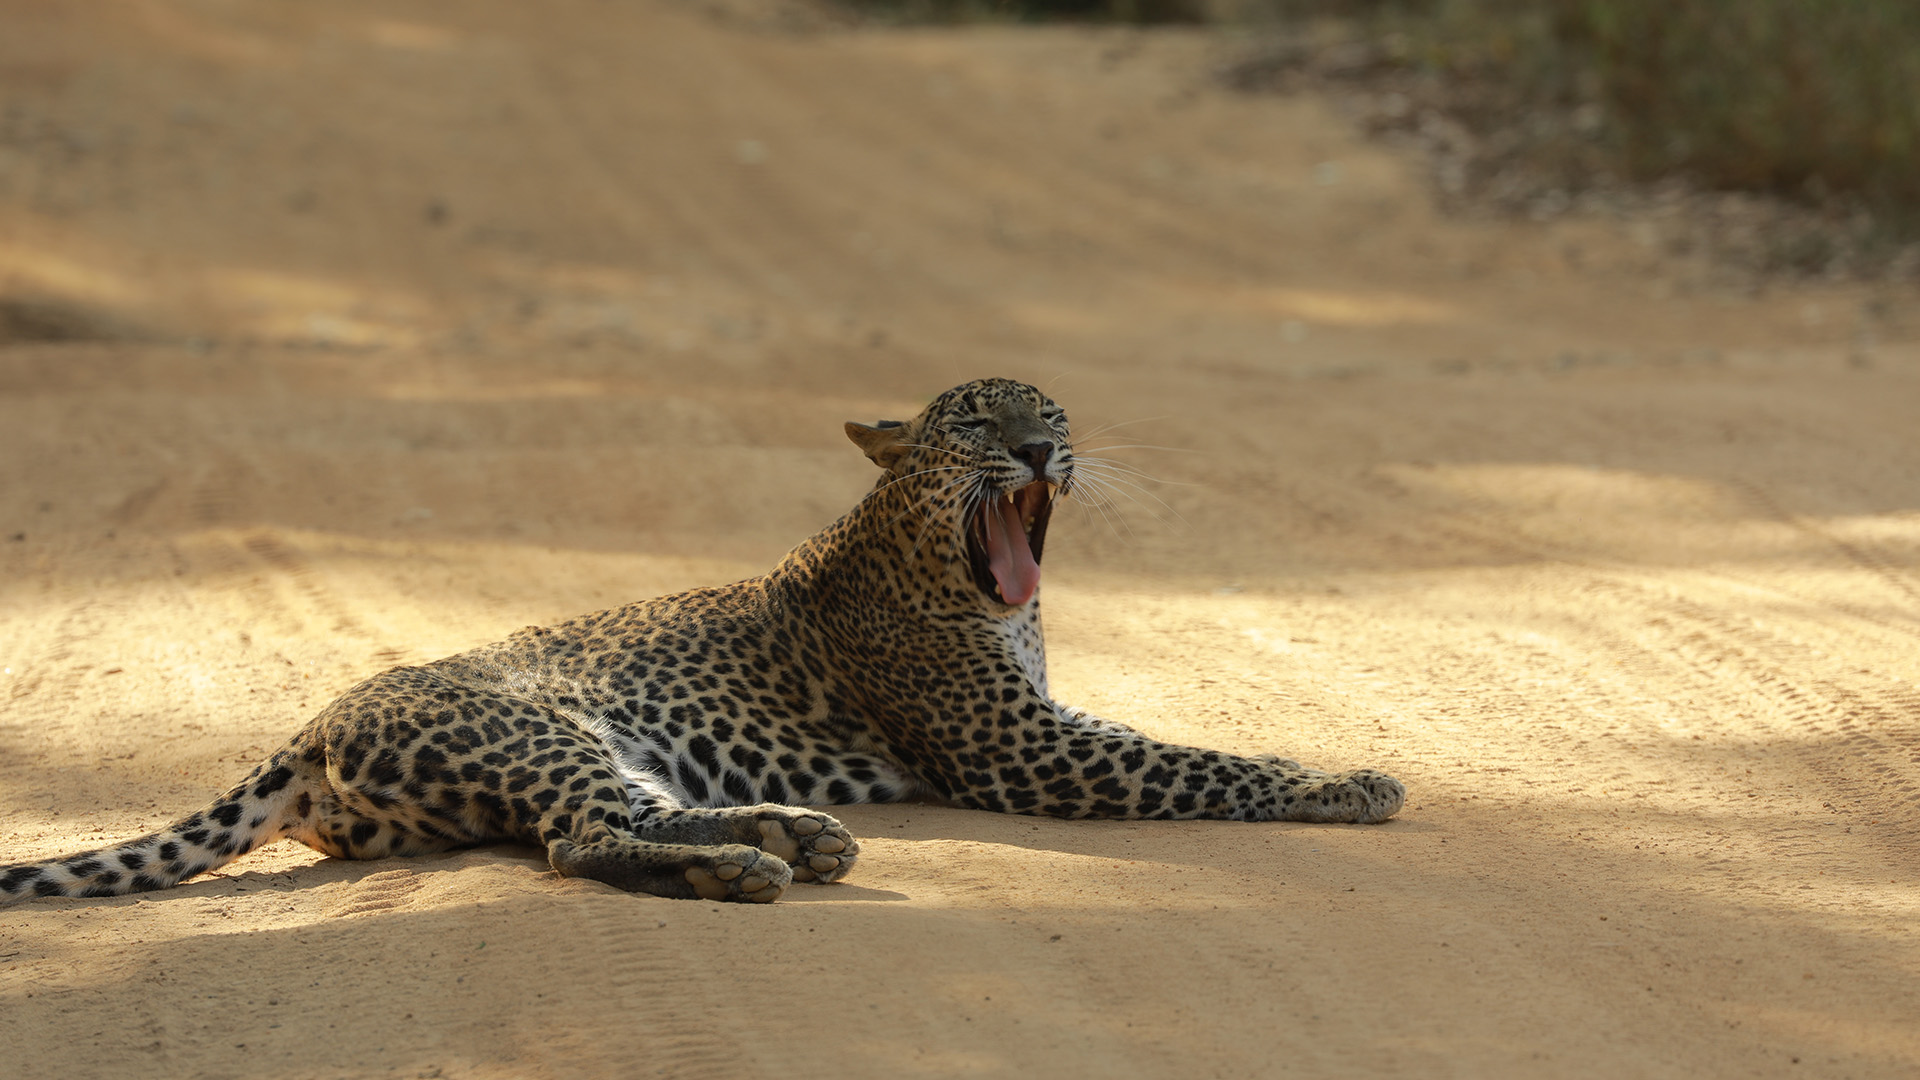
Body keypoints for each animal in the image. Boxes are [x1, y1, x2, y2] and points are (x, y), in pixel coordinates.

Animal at [3, 376, 1413, 899]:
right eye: (973, 422)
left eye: (1050, 414)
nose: (1034, 454)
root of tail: (313, 724)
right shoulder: (1020, 750)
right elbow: (1203, 761)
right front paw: (1348, 782)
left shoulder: (1042, 724)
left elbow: (1187, 744)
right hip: (535, 731)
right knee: (575, 843)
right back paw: (751, 868)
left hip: (595, 749)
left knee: (624, 817)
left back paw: (793, 837)